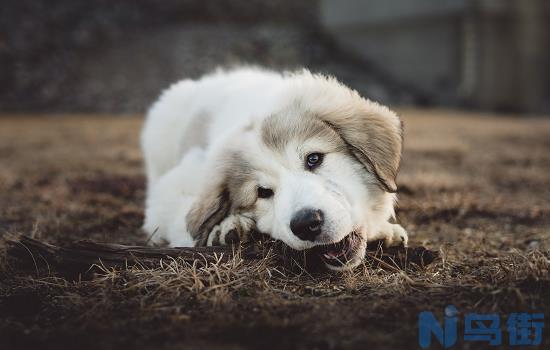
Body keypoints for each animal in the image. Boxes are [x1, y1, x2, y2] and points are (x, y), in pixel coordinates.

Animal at [142, 68, 410, 270]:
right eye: (262, 192)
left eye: (314, 159)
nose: (306, 224)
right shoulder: (176, 183)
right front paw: (224, 228)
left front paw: (385, 230)